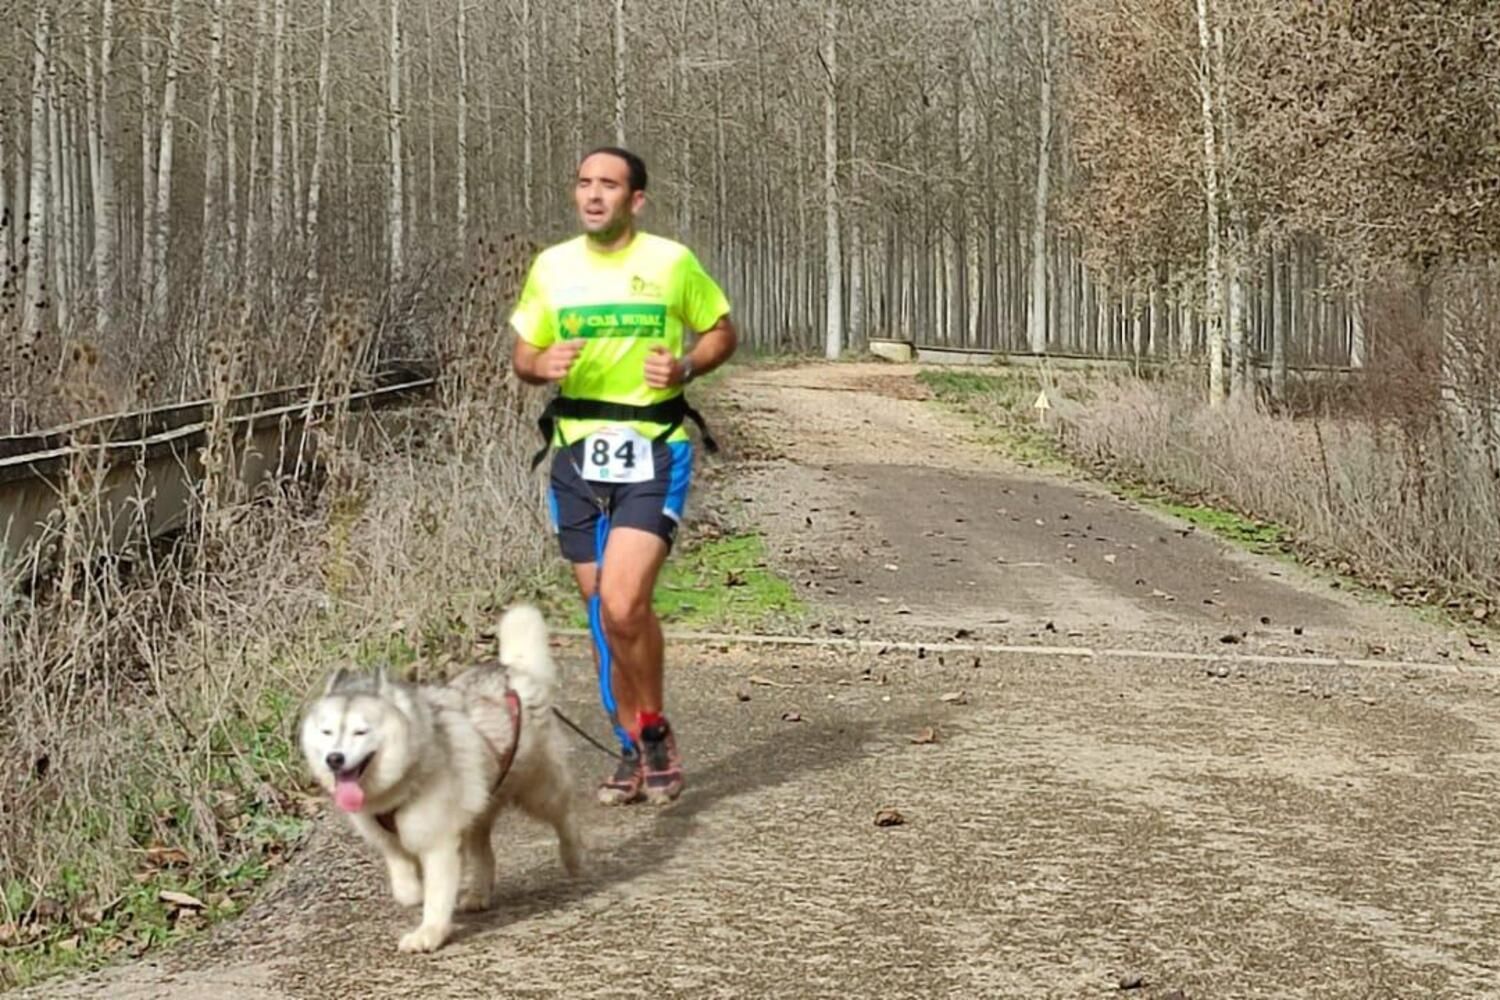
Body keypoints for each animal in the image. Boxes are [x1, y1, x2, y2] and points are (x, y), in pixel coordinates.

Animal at [300, 602, 585, 953]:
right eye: (326, 732)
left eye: (360, 731)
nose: (334, 759)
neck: (401, 781)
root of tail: (509, 670)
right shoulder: (389, 837)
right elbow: (401, 873)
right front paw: (411, 892)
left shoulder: (438, 843)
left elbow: (436, 896)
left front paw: (429, 933)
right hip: (480, 801)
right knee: (483, 850)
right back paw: (478, 892)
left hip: (537, 789)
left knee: (564, 815)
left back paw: (573, 857)